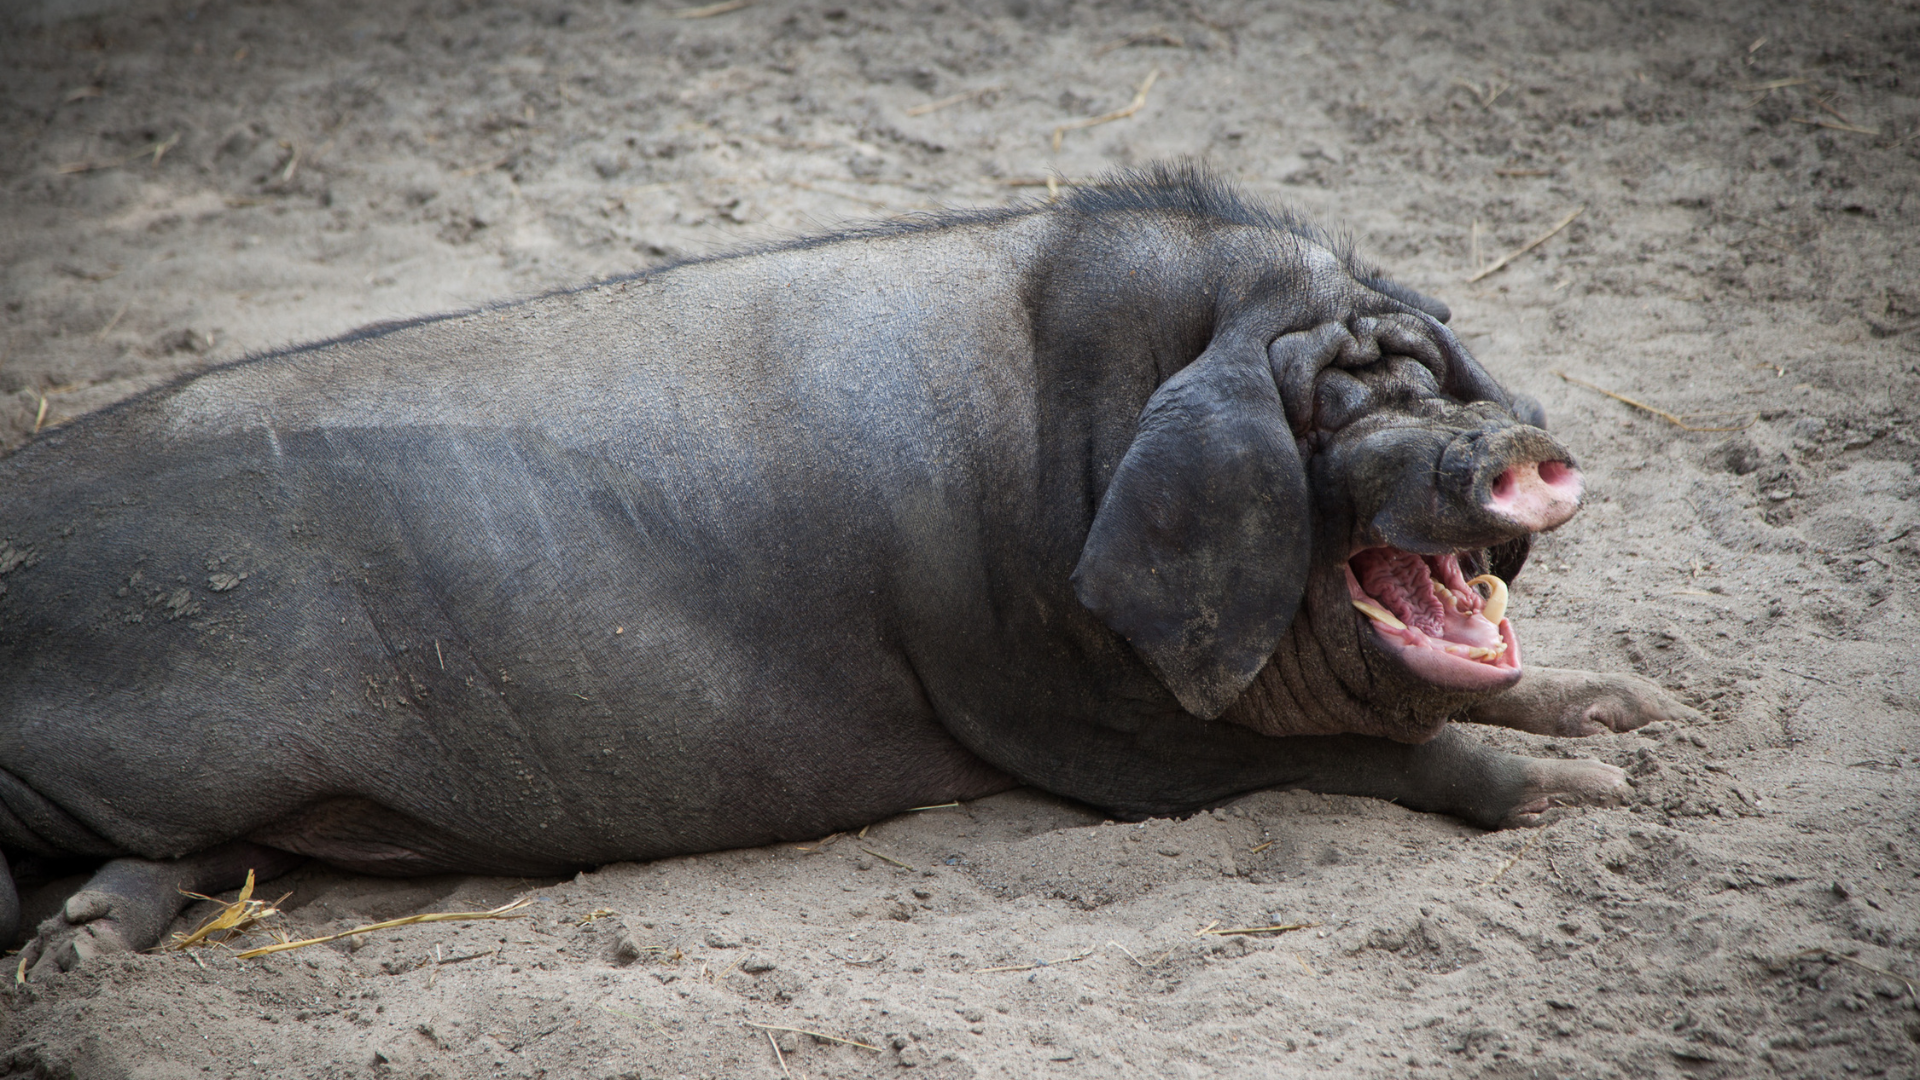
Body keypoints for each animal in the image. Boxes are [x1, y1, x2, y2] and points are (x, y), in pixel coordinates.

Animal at [0, 165, 1694, 976]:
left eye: (1434, 374)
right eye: (1338, 408)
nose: (1511, 445)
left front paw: (1632, 721)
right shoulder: (1082, 730)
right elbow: (1382, 761)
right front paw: (1590, 799)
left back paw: (89, 944)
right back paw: (72, 959)